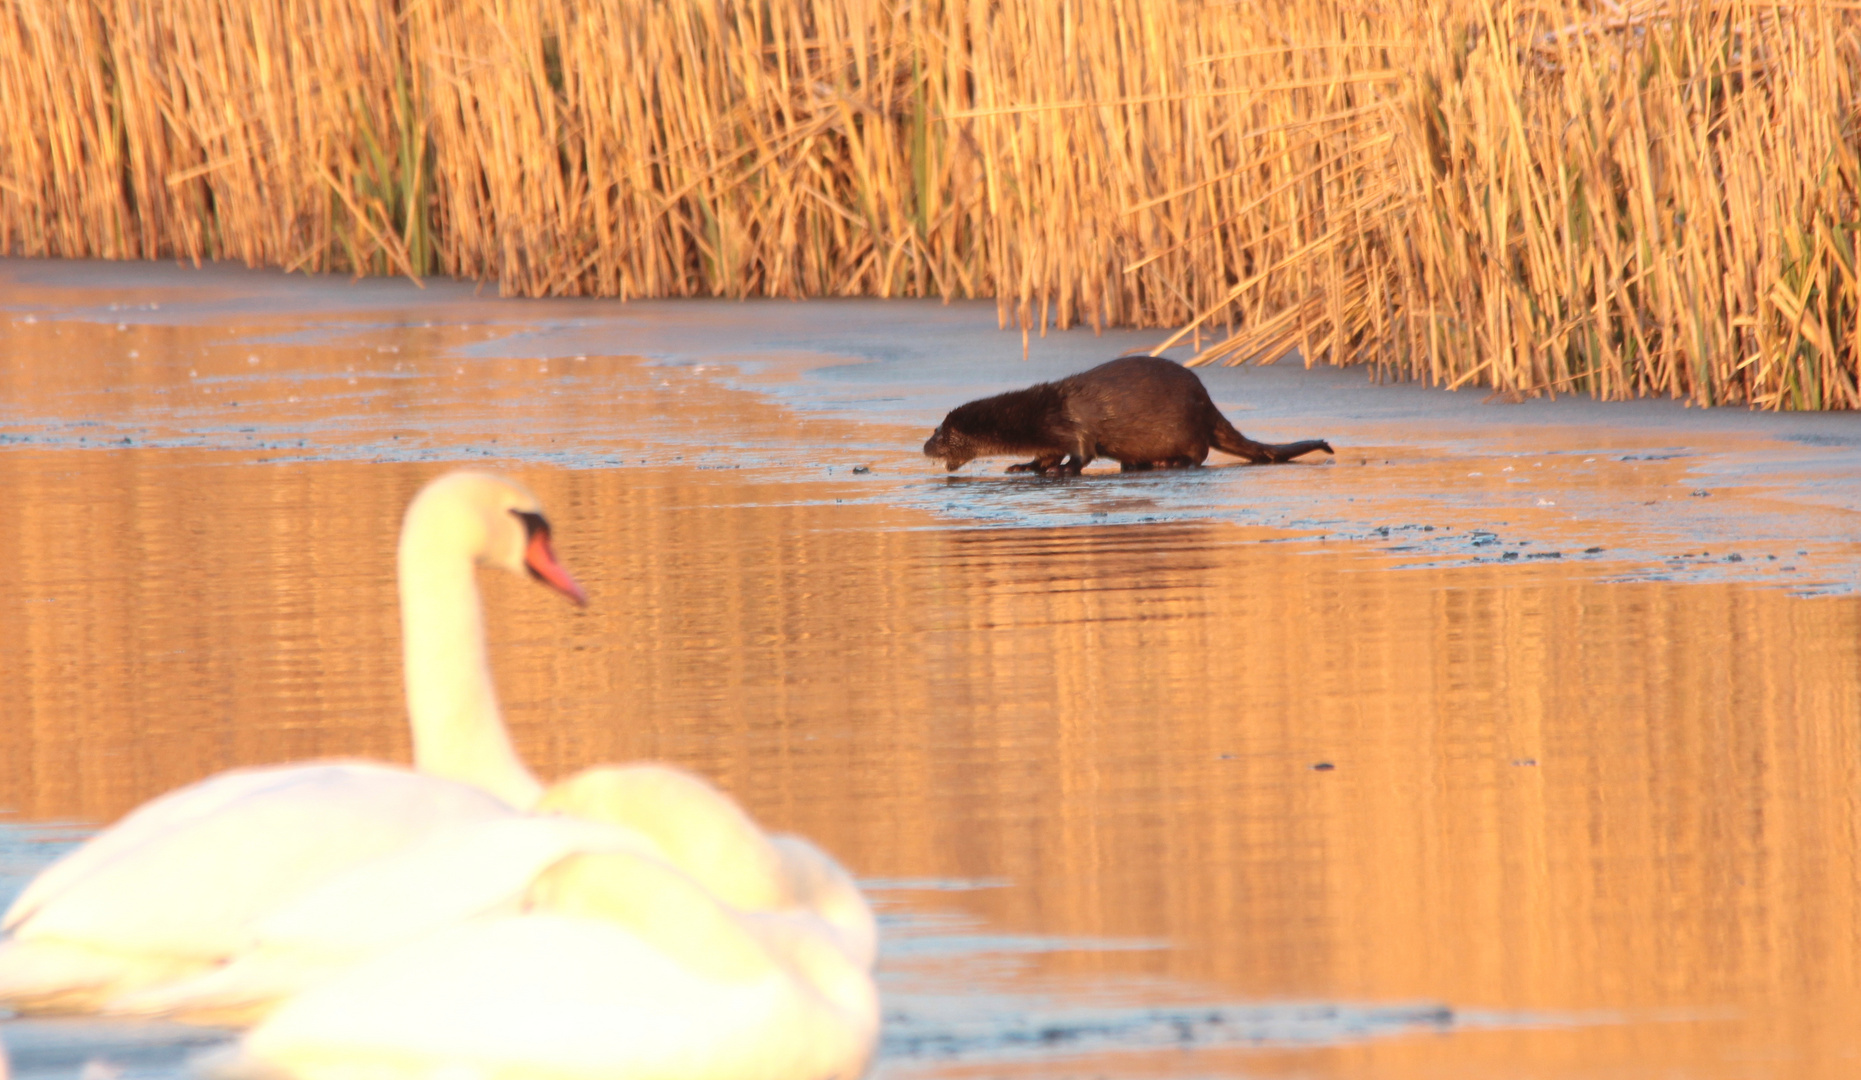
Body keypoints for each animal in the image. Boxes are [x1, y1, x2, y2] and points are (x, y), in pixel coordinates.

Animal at [919, 355, 1332, 474]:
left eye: (938, 432)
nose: (923, 448)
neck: (1034, 415)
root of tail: (1207, 401)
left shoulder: (1071, 425)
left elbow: (1080, 453)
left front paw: (1063, 471)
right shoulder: (1049, 437)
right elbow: (1045, 455)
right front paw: (1024, 466)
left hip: (1188, 427)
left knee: (1200, 453)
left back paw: (1169, 462)